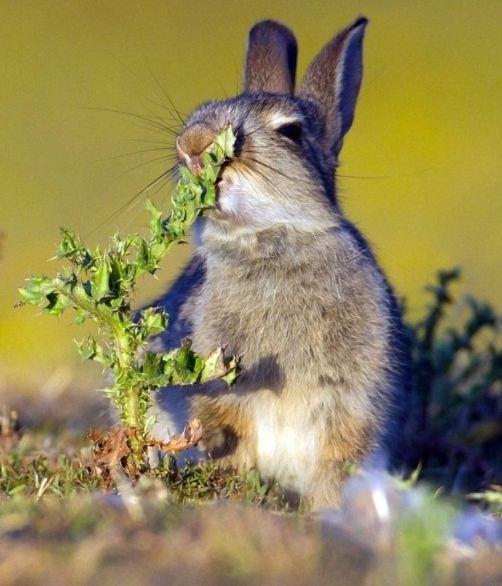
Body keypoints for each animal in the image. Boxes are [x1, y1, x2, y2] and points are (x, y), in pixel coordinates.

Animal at [148, 16, 412, 504]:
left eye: (289, 132)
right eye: (202, 109)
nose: (190, 145)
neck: (267, 240)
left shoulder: (350, 403)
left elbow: (337, 460)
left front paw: (328, 509)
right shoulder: (219, 391)